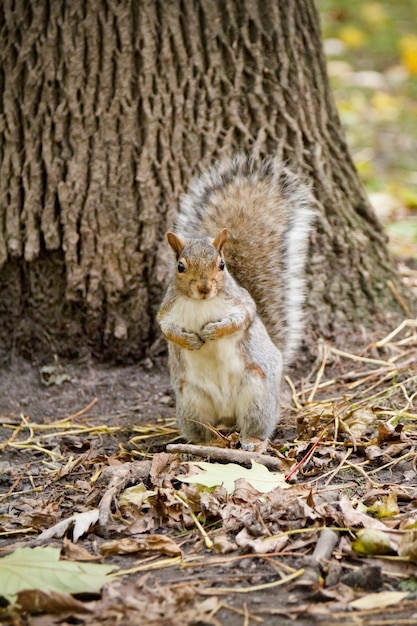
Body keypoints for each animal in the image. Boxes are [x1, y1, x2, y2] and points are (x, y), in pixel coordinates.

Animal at [158, 156, 314, 448]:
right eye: (180, 266)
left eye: (221, 264)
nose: (204, 287)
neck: (201, 303)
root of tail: (228, 415)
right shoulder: (166, 311)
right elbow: (167, 330)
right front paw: (190, 340)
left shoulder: (241, 304)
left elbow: (241, 320)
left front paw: (213, 331)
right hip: (191, 401)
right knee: (204, 429)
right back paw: (207, 443)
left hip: (257, 394)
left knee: (256, 424)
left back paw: (253, 440)